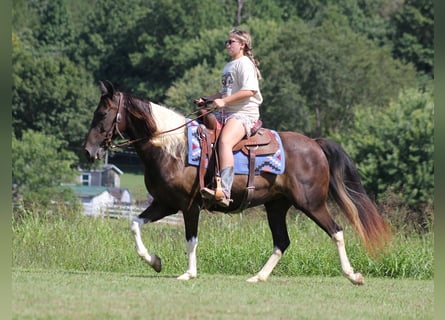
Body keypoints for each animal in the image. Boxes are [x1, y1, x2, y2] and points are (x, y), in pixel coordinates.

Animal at [83, 81, 388, 284]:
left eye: (102, 114)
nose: (88, 151)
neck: (171, 148)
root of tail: (314, 144)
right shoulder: (165, 203)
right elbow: (135, 224)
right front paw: (155, 262)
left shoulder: (188, 206)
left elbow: (190, 239)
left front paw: (188, 273)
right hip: (277, 206)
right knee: (282, 241)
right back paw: (258, 277)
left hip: (311, 203)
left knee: (336, 231)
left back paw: (353, 275)